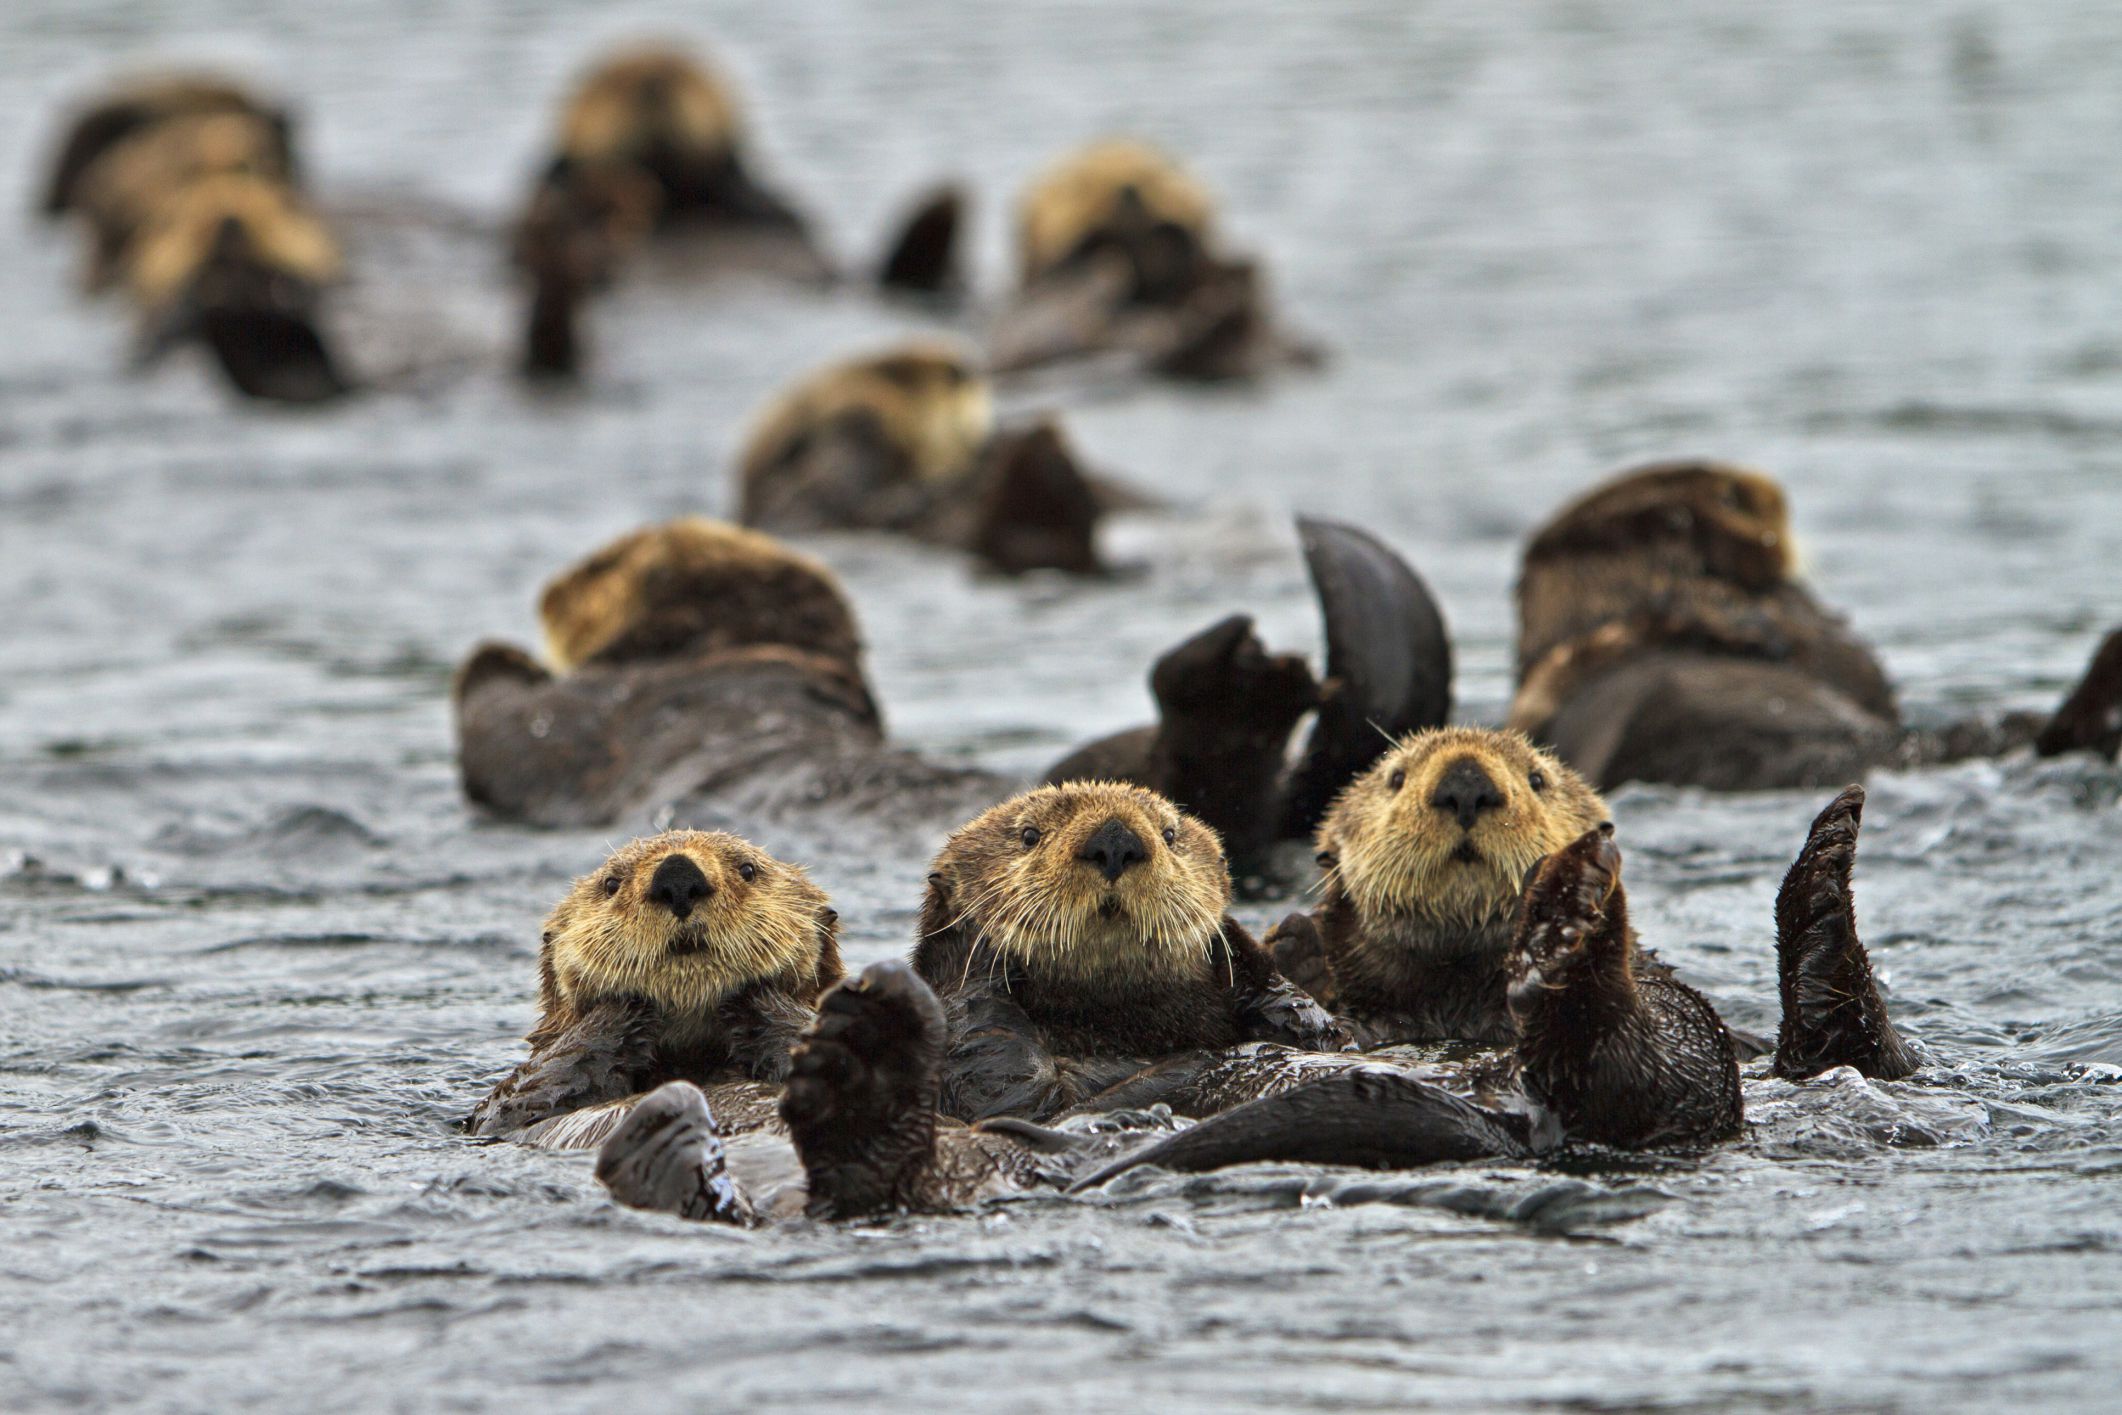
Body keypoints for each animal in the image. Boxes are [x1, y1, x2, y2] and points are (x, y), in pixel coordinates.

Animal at [468, 831, 840, 1154]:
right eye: (611, 884)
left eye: (748, 870)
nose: (677, 875)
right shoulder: (507, 1117)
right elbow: (513, 1101)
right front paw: (623, 1005)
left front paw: (755, 994)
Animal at [908, 780, 1341, 1120]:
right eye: (1029, 835)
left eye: (1170, 835)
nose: (1115, 840)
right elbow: (1006, 1091)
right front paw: (970, 938)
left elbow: (1322, 1030)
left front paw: (1233, 939)